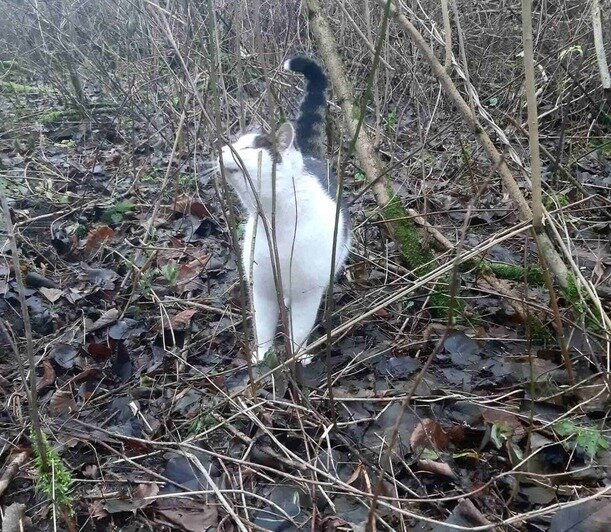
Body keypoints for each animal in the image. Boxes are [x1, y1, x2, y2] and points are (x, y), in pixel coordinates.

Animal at [219, 55, 350, 366]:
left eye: (248, 148)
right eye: (236, 142)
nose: (222, 149)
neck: (277, 222)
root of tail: (312, 156)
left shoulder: (308, 292)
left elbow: (299, 328)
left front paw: (297, 357)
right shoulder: (261, 287)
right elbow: (264, 325)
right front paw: (262, 356)